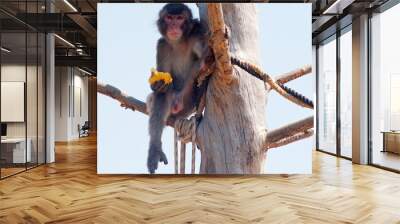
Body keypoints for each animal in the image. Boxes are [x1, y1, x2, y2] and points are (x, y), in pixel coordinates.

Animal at [147, 3, 209, 173]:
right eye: (169, 18)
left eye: (180, 18)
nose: (174, 25)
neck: (179, 42)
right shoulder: (162, 46)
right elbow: (162, 87)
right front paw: (158, 84)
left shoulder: (196, 35)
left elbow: (206, 54)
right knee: (161, 96)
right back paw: (155, 148)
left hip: (188, 104)